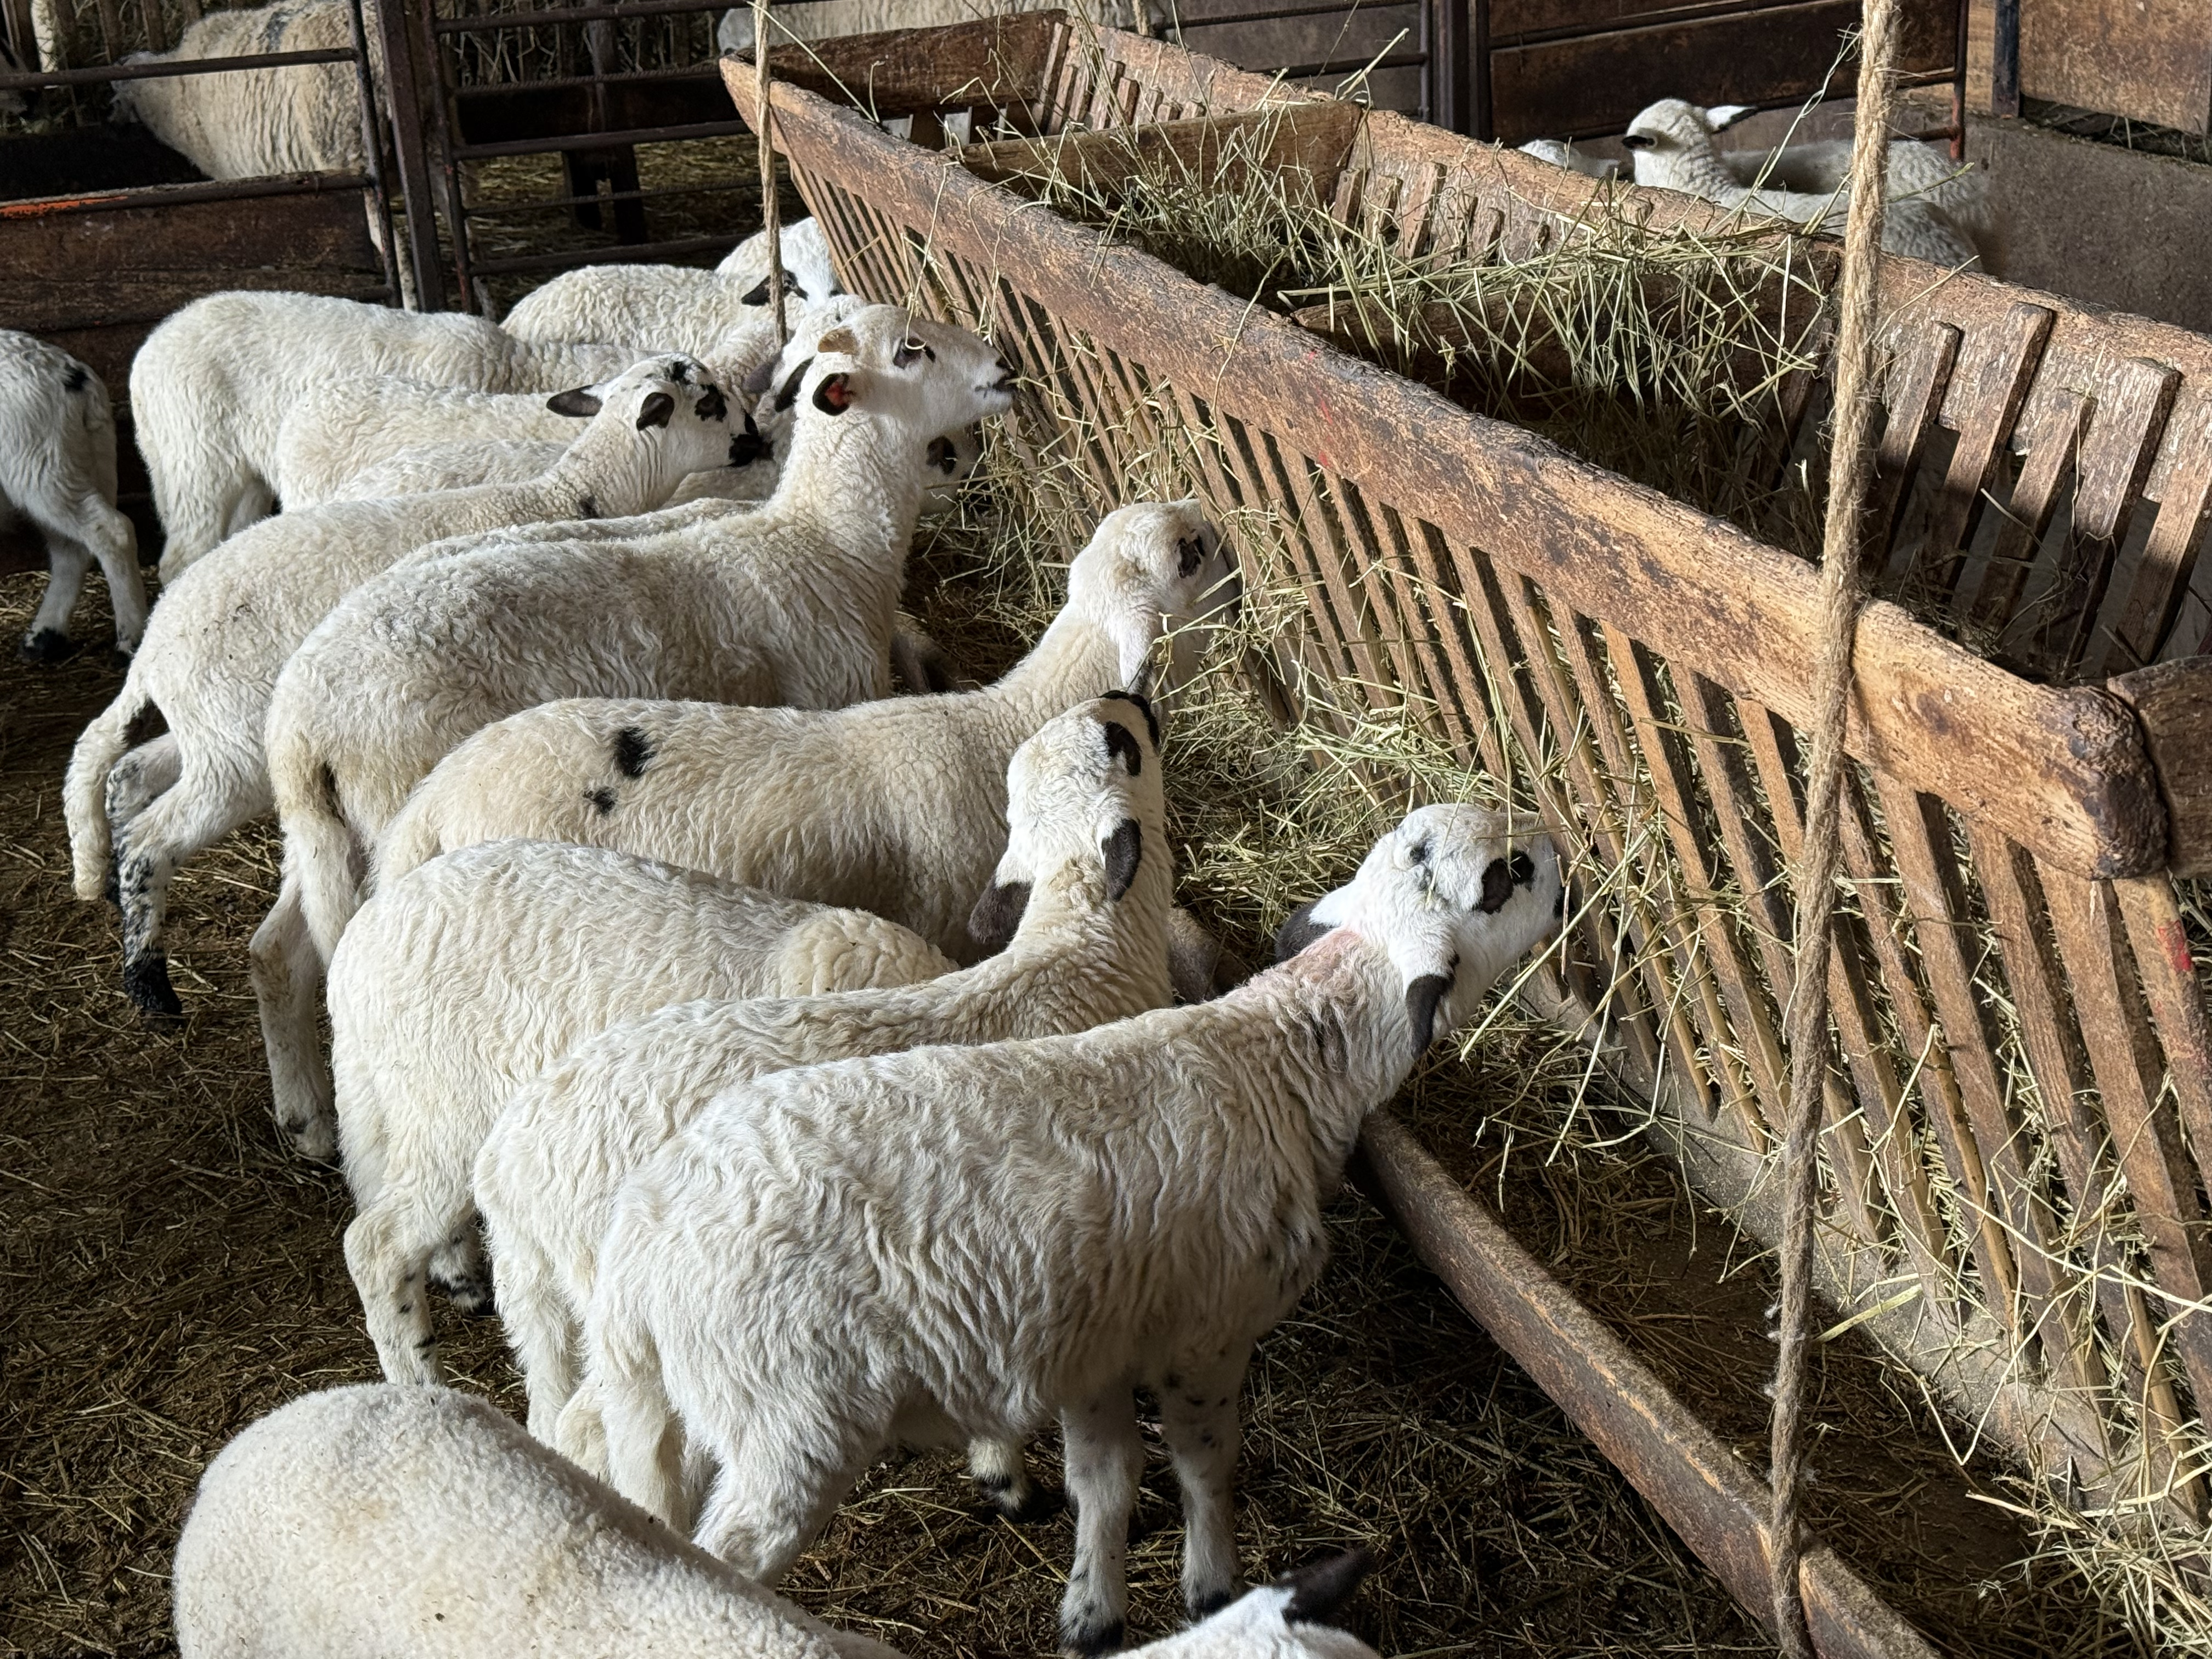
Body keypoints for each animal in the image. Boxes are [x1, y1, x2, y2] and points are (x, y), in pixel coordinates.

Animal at [0, 330, 146, 664]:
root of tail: (74, 376)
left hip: (40, 463)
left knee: (110, 530)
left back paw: (131, 637)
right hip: (74, 462)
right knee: (72, 549)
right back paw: (44, 638)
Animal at [61, 357, 738, 1031]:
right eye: (711, 403)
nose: (753, 438)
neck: (565, 496)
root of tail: (155, 645)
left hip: (220, 738)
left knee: (123, 770)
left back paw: (111, 887)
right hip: (236, 753)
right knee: (154, 835)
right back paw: (149, 981)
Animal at [249, 305, 1013, 1138]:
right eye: (913, 351)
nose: (1006, 368)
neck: (823, 544)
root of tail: (303, 725)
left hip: (321, 837)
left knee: (281, 947)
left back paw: (305, 1114)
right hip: (383, 806)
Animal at [578, 803, 1563, 1652]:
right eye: (1502, 880)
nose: (1560, 851)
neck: (1275, 1063)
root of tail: (639, 1240)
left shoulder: (1093, 1338)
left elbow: (1107, 1478)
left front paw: (1093, 1611)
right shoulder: (1206, 1334)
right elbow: (1207, 1465)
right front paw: (1212, 1585)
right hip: (785, 1419)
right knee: (729, 1552)